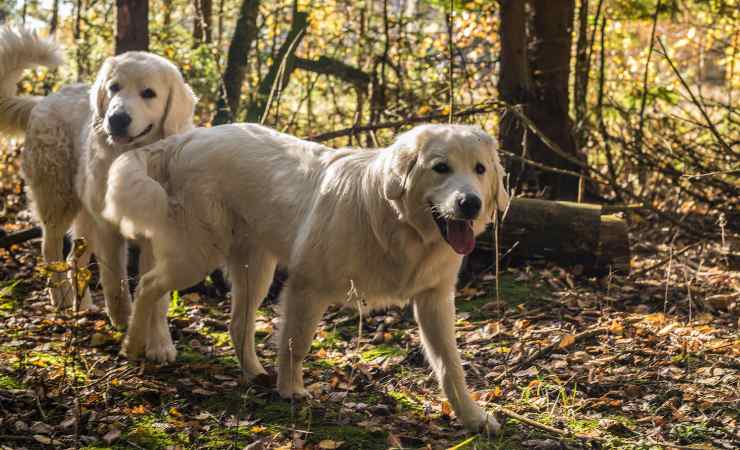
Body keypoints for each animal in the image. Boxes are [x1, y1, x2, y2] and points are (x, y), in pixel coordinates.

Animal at [104, 123, 508, 432]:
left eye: (479, 169)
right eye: (441, 167)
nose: (470, 203)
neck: (398, 224)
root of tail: (184, 139)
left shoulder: (434, 300)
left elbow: (451, 366)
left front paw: (472, 417)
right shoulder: (308, 286)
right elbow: (295, 344)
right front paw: (291, 390)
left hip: (255, 269)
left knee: (236, 324)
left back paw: (253, 372)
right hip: (198, 254)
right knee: (149, 284)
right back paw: (134, 344)